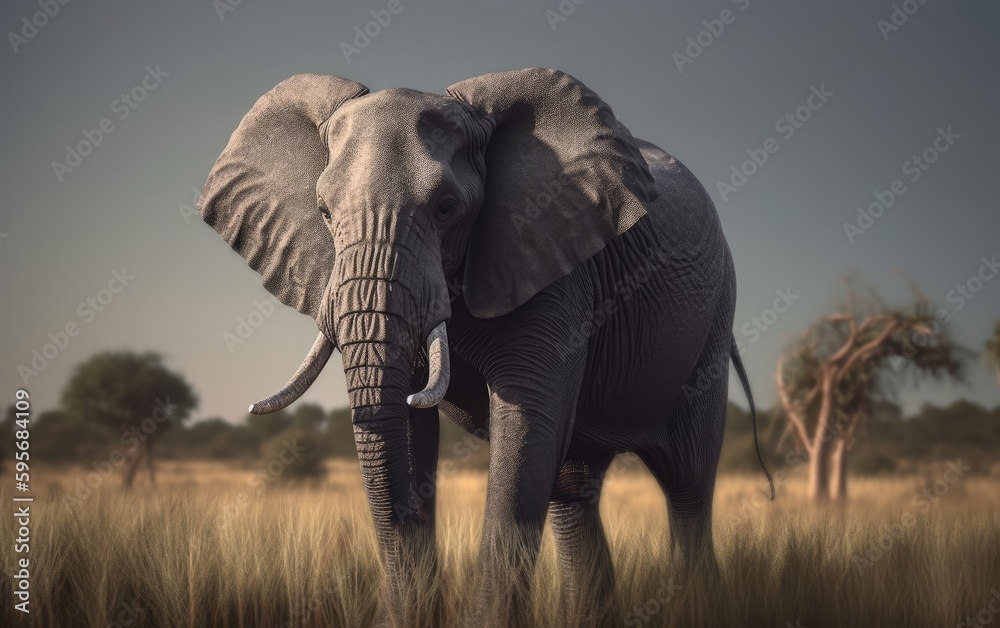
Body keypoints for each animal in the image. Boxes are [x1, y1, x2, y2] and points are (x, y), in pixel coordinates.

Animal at [199, 68, 772, 626]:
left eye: (447, 208)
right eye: (323, 212)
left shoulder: (551, 262)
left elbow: (526, 429)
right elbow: (413, 431)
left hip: (711, 324)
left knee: (687, 486)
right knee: (573, 490)